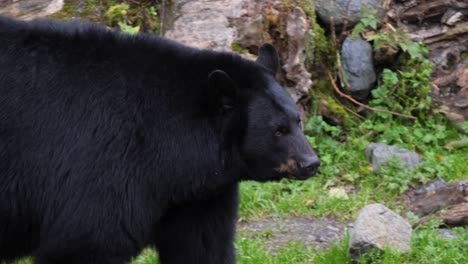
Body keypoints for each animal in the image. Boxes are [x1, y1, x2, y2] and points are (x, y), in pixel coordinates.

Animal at [0, 16, 318, 264]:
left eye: (297, 121)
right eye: (278, 130)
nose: (311, 163)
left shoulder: (200, 194)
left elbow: (203, 246)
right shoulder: (105, 161)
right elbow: (87, 241)